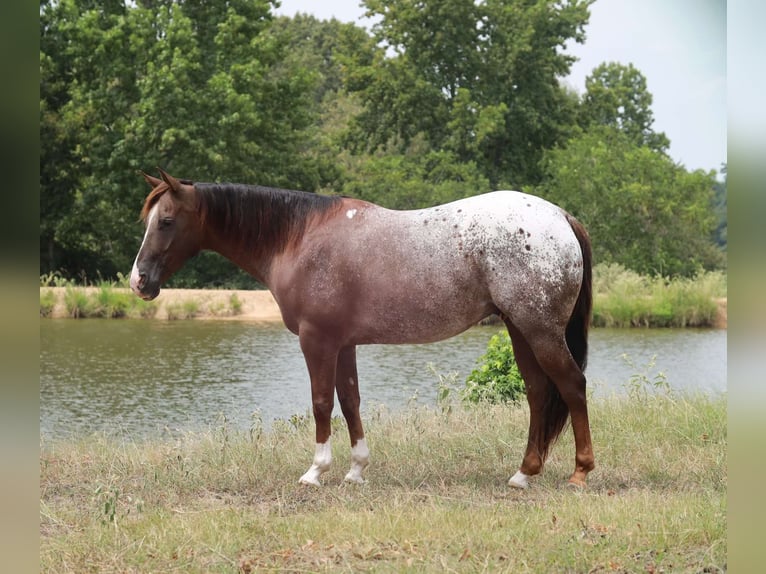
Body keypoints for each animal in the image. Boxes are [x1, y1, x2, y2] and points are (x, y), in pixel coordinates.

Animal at [132, 169, 596, 488]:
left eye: (167, 221)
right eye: (149, 221)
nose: (139, 282)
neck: (299, 238)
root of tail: (561, 217)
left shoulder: (317, 341)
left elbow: (321, 403)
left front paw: (315, 472)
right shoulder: (344, 344)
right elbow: (351, 401)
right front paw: (356, 471)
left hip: (540, 330)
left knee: (572, 385)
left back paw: (580, 472)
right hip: (520, 329)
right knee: (538, 393)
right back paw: (524, 474)